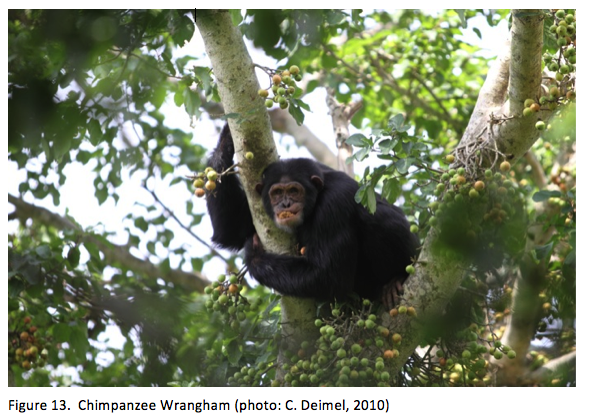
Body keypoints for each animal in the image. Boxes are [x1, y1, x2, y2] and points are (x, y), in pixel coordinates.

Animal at [206, 124, 418, 308]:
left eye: (293, 191)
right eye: (277, 193)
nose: (285, 204)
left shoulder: (334, 202)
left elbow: (326, 275)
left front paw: (254, 255)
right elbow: (231, 230)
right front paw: (226, 137)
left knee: (380, 220)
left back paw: (395, 280)